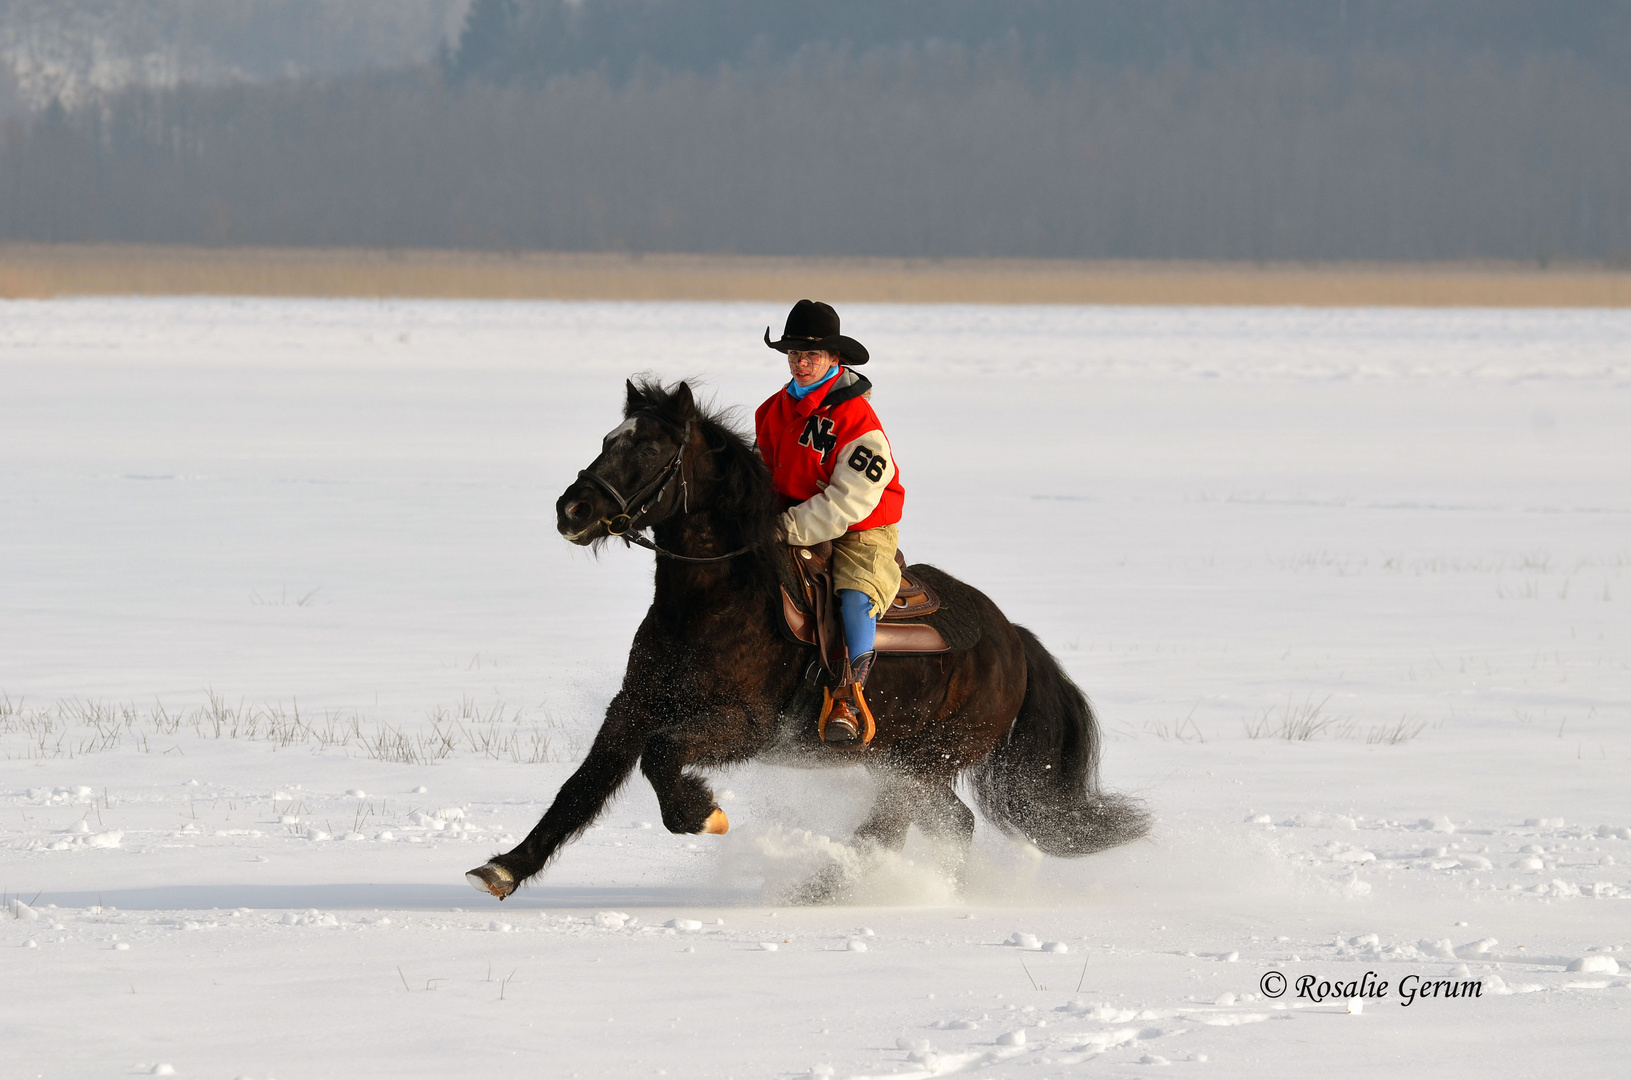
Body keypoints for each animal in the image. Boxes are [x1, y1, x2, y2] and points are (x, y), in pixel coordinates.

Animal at [466, 383, 1141, 907]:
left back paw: (825, 887)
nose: (573, 510)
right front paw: (503, 869)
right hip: (903, 762)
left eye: (651, 448)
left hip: (922, 762)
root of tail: (1014, 642)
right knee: (950, 824)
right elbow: (579, 789)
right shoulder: (634, 706)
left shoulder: (745, 725)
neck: (711, 600)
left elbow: (662, 757)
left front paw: (704, 813)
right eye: (610, 438)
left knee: (900, 825)